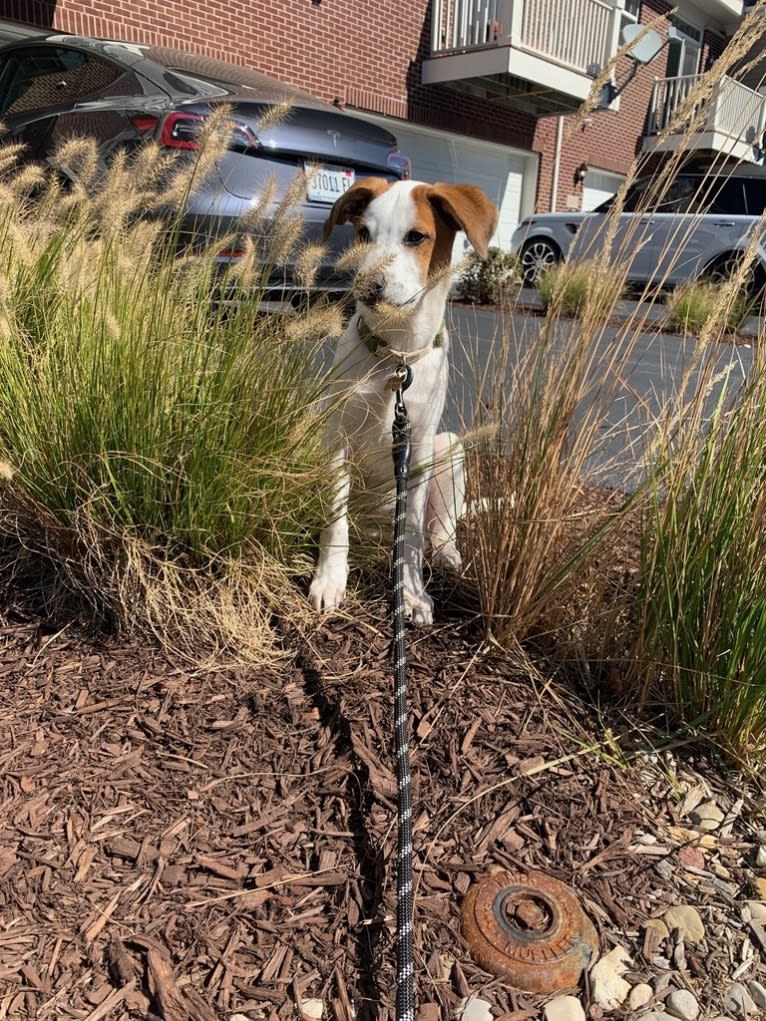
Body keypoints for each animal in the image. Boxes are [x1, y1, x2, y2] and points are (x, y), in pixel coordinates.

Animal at [308, 177, 500, 620]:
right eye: (364, 234)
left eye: (416, 237)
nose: (368, 286)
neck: (396, 355)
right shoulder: (335, 437)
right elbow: (335, 519)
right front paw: (330, 578)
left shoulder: (420, 446)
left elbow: (411, 531)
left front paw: (412, 592)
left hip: (451, 448)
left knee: (436, 530)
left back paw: (446, 555)